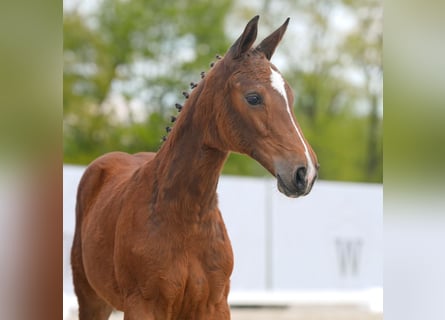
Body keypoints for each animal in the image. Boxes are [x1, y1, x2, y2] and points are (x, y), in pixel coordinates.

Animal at [71, 15, 318, 320]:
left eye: (291, 98)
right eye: (253, 97)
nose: (305, 172)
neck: (185, 217)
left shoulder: (215, 305)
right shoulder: (142, 306)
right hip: (91, 299)